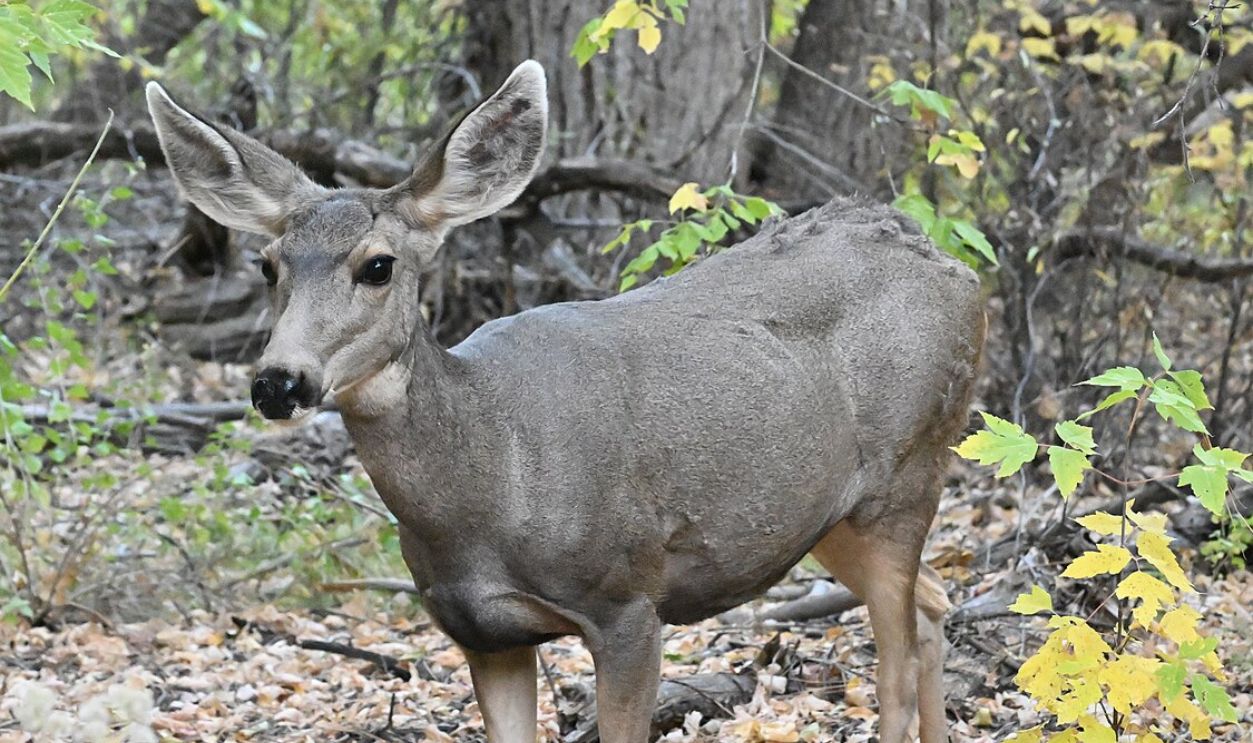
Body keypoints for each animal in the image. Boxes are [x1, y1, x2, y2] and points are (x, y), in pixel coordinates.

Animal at [146, 60, 984, 743]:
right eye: (266, 264)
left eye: (377, 265)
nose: (277, 381)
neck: (493, 477)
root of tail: (951, 261)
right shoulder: (484, 633)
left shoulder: (627, 602)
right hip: (824, 514)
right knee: (934, 601)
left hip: (909, 467)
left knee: (896, 666)